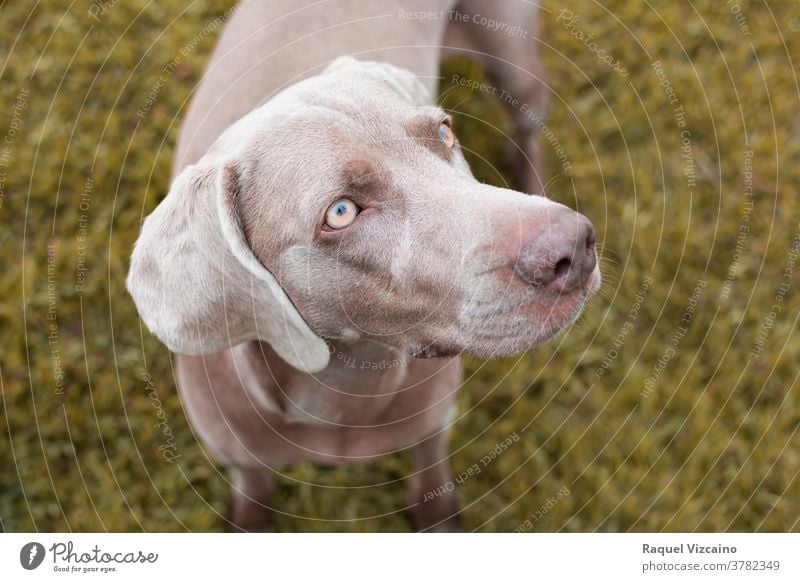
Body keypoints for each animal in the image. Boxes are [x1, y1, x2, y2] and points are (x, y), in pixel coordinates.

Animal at [126, 0, 600, 532]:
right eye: (341, 212)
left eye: (444, 132)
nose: (574, 247)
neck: (343, 399)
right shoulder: (240, 457)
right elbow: (253, 499)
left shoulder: (432, 423)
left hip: (513, 57)